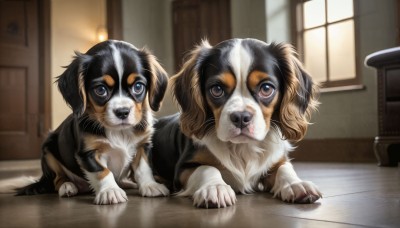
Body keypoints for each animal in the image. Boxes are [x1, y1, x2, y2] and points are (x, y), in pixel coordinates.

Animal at [14, 39, 169, 205]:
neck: (118, 131)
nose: (122, 112)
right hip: (48, 150)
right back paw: (67, 186)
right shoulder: (88, 152)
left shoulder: (143, 144)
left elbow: (143, 168)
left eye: (138, 87)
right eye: (100, 90)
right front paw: (110, 191)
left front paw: (150, 185)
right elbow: (102, 171)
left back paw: (127, 182)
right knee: (58, 179)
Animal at [150, 38, 322, 208]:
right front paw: (215, 187)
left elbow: (285, 168)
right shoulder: (183, 168)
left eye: (266, 88)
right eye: (217, 89)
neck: (242, 147)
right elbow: (207, 168)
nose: (241, 117)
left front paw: (296, 184)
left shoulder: (276, 160)